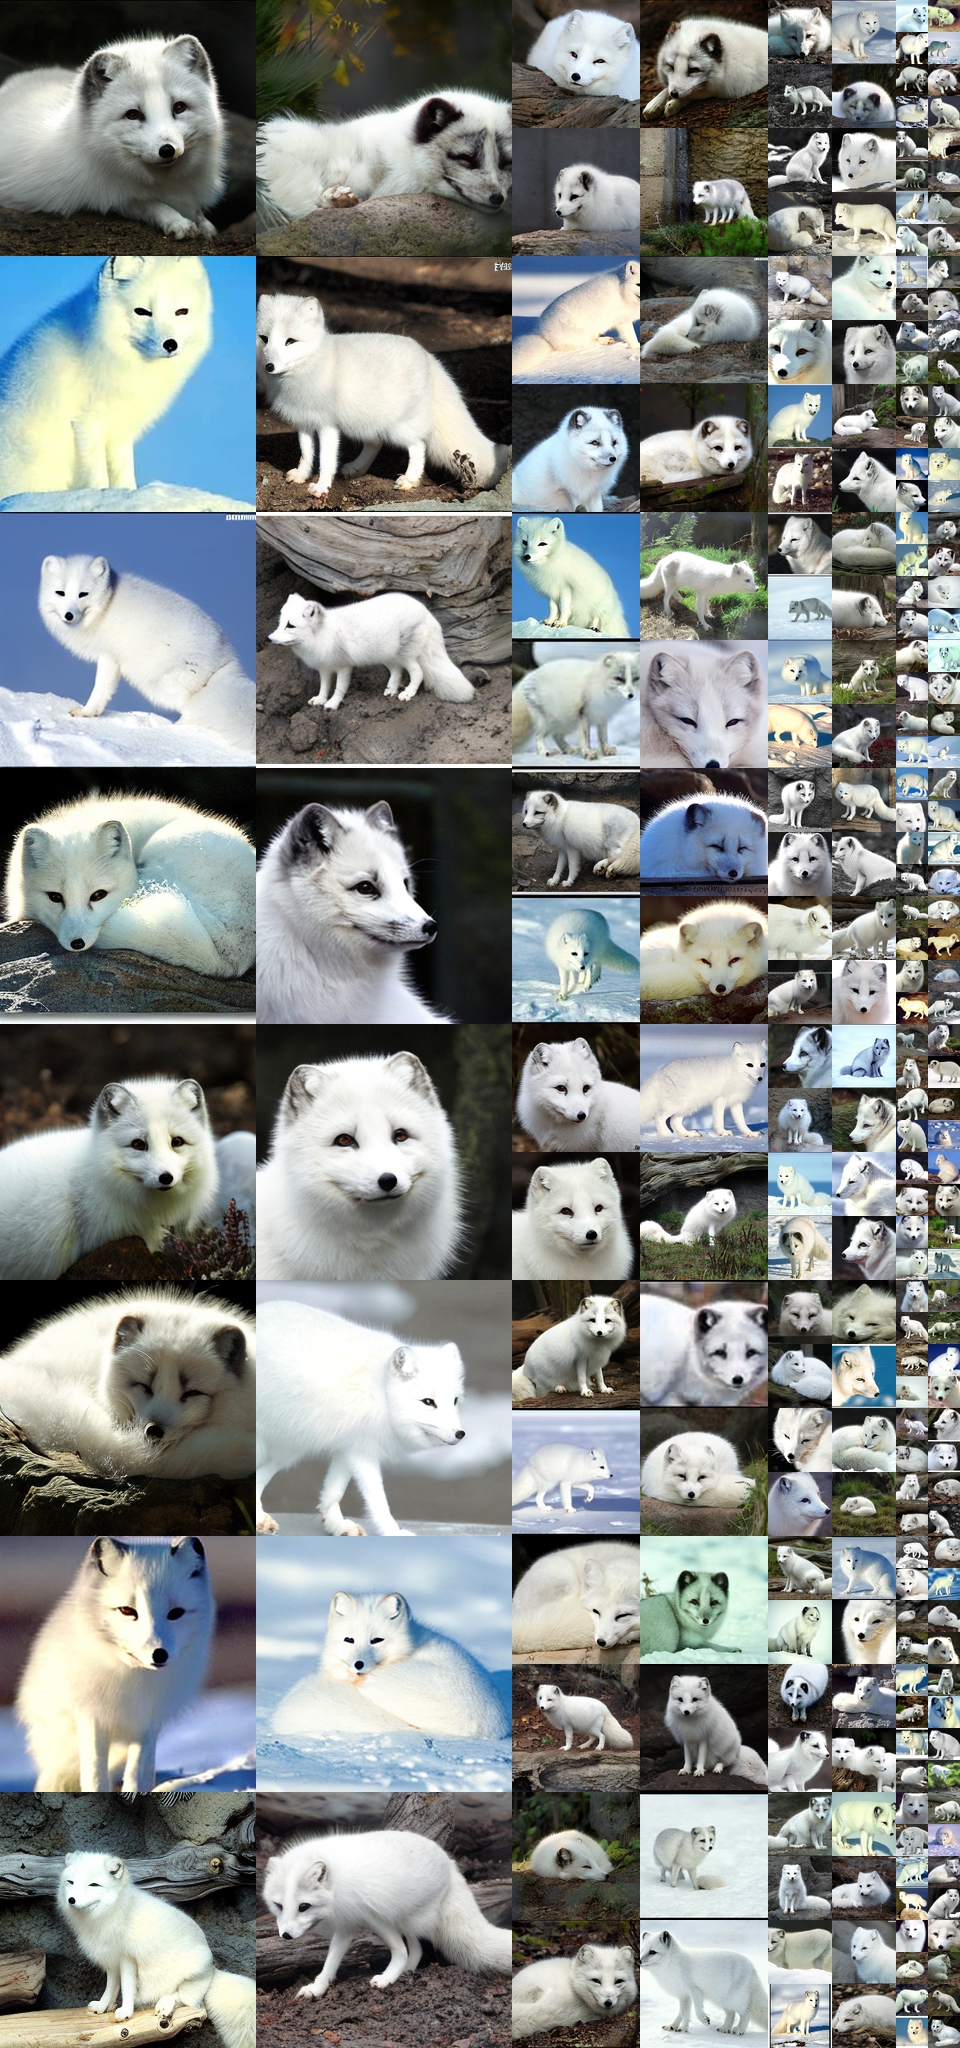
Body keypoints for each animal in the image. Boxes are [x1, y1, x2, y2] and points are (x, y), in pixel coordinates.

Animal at [0, 255, 211, 498]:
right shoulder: (87, 422)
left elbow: (124, 471)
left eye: (181, 312)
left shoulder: (121, 426)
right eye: (142, 311)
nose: (170, 344)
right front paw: (99, 495)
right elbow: (97, 472)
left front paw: (129, 494)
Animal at [16, 1537, 214, 1792]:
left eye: (176, 1613)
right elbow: (94, 1775)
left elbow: (136, 1773)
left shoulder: (148, 1721)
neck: (133, 1679)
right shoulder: (91, 1714)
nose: (159, 1654)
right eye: (127, 1610)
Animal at [58, 1853, 253, 2048]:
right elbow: (111, 1987)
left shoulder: (127, 1958)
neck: (116, 1909)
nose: (71, 1900)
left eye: (94, 1885)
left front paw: (126, 2011)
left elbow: (127, 1986)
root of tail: (213, 1969)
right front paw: (103, 2006)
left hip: (192, 1970)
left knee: (188, 2001)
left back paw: (165, 2004)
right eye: (71, 1882)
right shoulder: (111, 1959)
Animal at [255, 1297, 465, 1535]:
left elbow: (333, 1491)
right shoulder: (363, 1453)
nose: (460, 1434)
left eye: (455, 1400)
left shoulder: (350, 1446)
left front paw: (336, 1525)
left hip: (288, 1450)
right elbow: (378, 1501)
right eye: (428, 1402)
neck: (381, 1394)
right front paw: (393, 1532)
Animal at [263, 1830, 510, 1996]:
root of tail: (450, 1862)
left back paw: (399, 1973)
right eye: (279, 1905)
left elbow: (399, 1950)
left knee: (414, 1946)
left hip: (404, 1916)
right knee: (417, 1948)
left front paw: (387, 1978)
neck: (337, 1886)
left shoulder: (370, 1914)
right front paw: (318, 1987)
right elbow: (331, 1960)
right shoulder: (347, 1923)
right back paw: (407, 1971)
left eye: (303, 1906)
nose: (285, 1936)